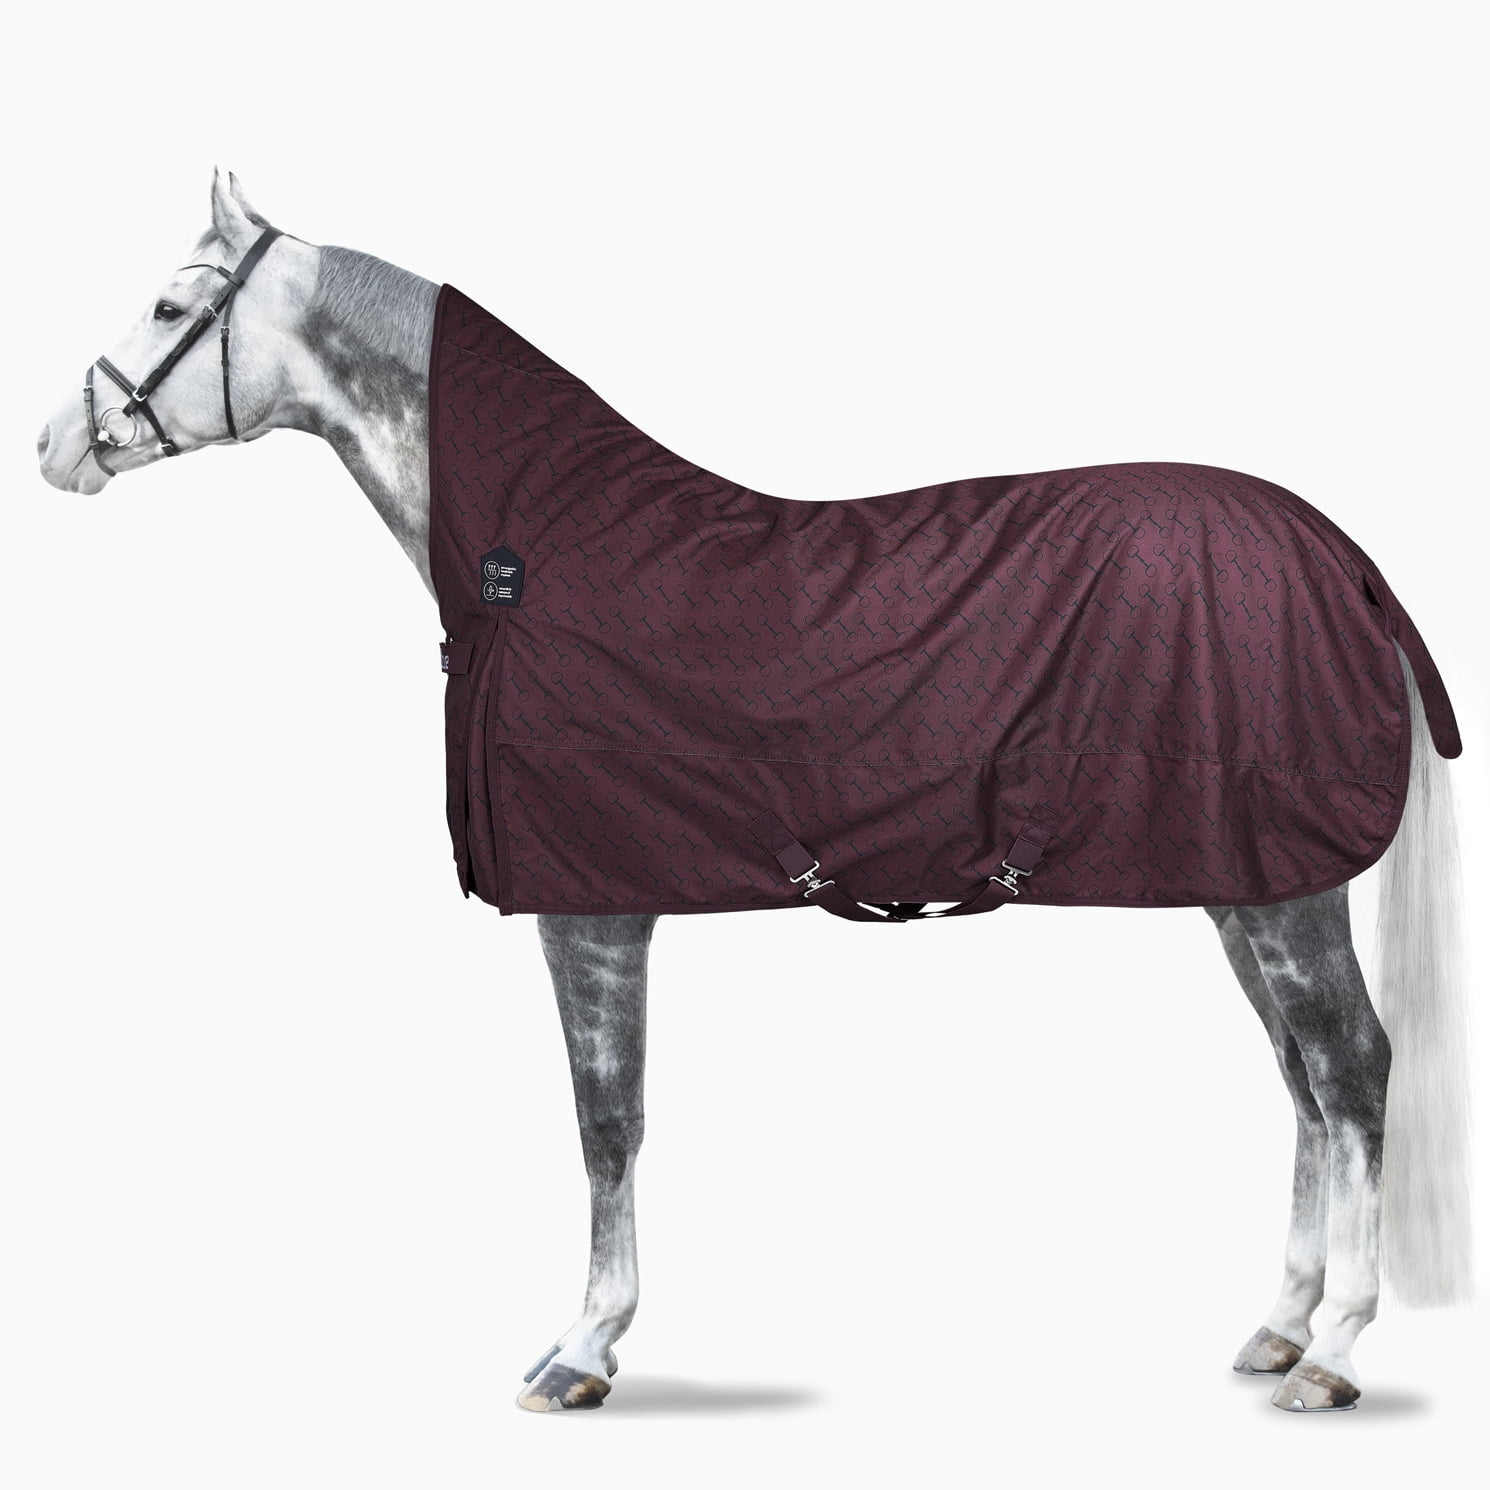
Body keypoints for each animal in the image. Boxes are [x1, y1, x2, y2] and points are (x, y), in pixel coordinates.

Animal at [36, 170, 1472, 1414]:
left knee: (1348, 1067)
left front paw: (583, 1347)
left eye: (166, 306)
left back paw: (1330, 1350)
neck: (541, 558)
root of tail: (1342, 560)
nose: (55, 444)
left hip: (1282, 889)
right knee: (1299, 1078)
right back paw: (1276, 1322)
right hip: (1239, 880)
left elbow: (605, 1119)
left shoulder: (593, 910)